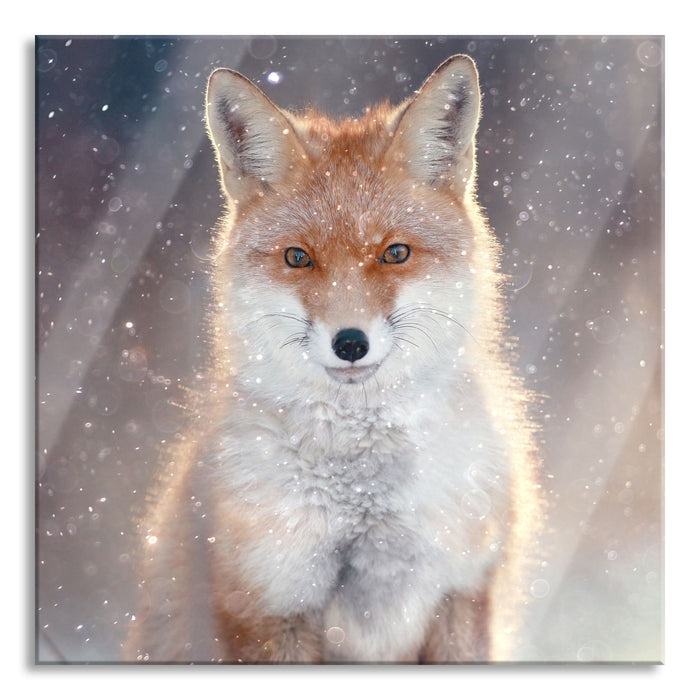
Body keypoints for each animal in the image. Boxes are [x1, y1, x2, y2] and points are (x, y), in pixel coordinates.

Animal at [123, 54, 543, 664]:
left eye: (395, 253)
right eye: (298, 258)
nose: (350, 343)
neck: (365, 499)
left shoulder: (462, 590)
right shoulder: (270, 602)